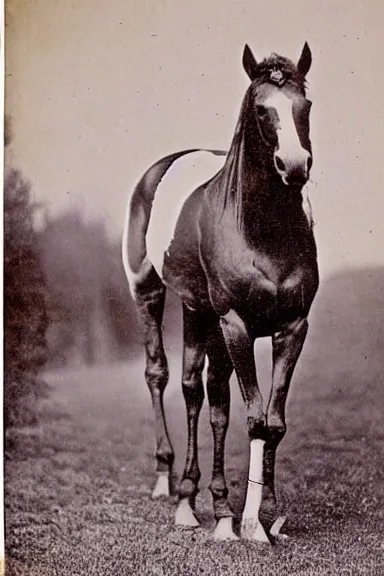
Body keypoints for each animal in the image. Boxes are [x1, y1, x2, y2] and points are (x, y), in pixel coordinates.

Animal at [122, 42, 318, 544]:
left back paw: (204, 501)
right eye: (261, 109)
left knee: (203, 394)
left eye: (305, 105)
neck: (263, 232)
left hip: (200, 313)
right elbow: (254, 417)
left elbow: (272, 422)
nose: (294, 166)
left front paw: (267, 512)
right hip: (151, 293)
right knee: (163, 377)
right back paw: (173, 486)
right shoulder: (237, 326)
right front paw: (248, 523)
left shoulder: (292, 328)